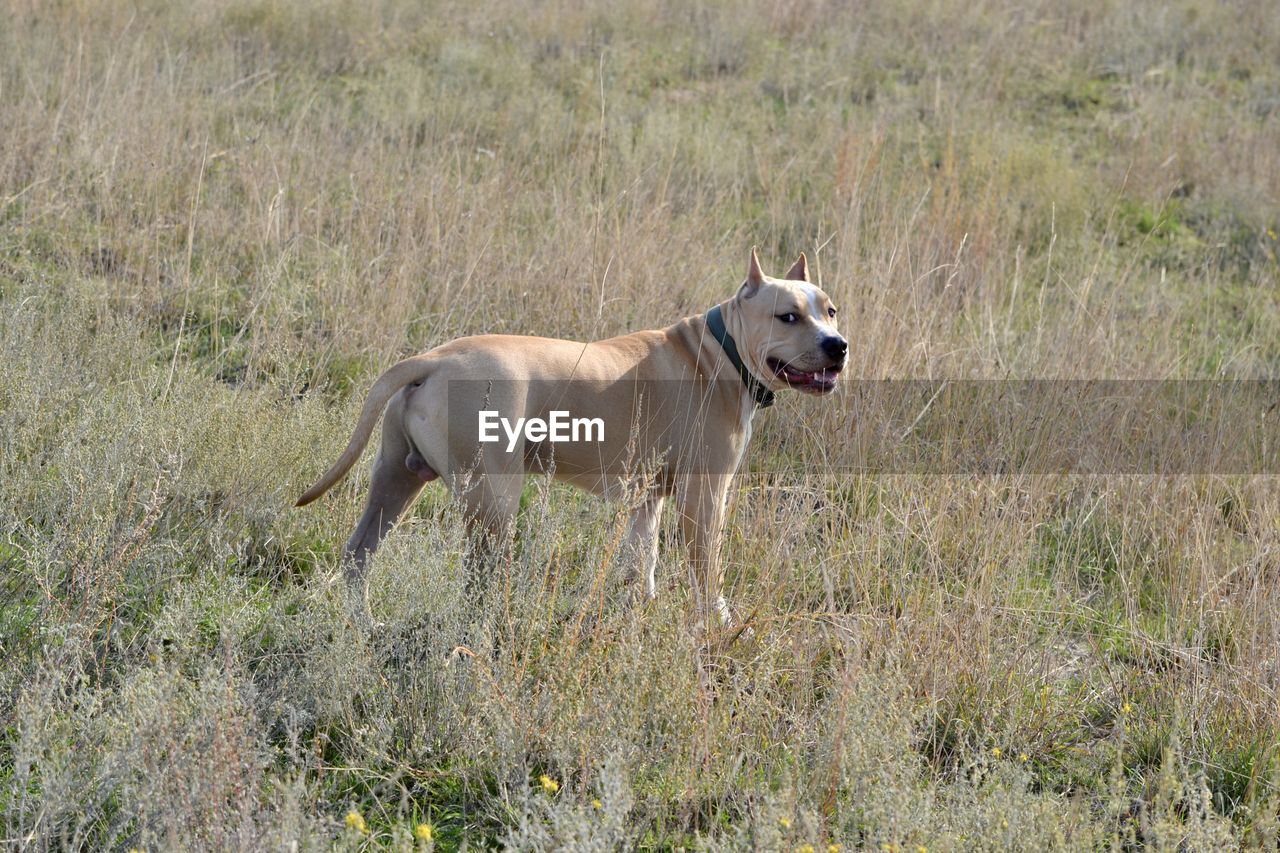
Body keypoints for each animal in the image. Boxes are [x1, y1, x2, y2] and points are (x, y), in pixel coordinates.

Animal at [294, 245, 844, 625]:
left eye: (830, 310)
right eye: (788, 316)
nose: (837, 345)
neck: (721, 353)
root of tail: (433, 359)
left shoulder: (646, 500)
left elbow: (642, 562)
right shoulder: (704, 498)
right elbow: (706, 570)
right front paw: (717, 621)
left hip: (394, 482)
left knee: (359, 556)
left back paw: (364, 625)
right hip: (492, 500)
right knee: (477, 582)